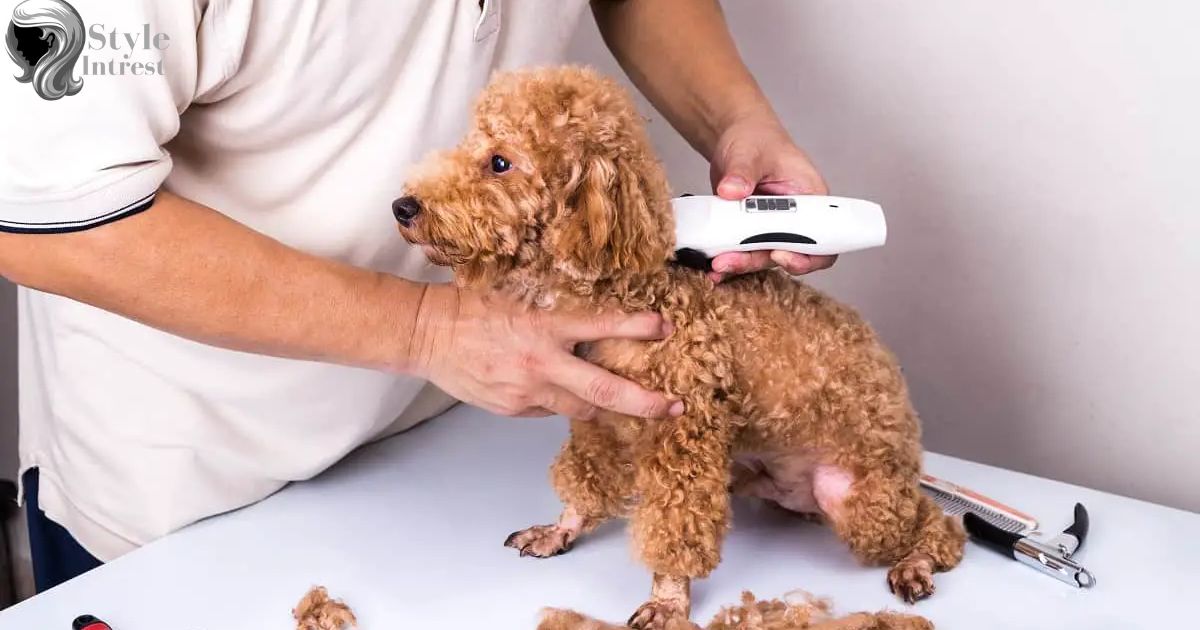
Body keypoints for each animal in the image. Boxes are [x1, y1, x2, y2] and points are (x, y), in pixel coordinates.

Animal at [393, 66, 964, 624]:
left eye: (499, 162)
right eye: (470, 144)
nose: (403, 206)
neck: (625, 277)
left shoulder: (683, 432)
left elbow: (677, 523)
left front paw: (668, 599)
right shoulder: (599, 419)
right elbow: (586, 481)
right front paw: (561, 529)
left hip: (859, 502)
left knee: (939, 524)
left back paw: (917, 563)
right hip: (751, 476)